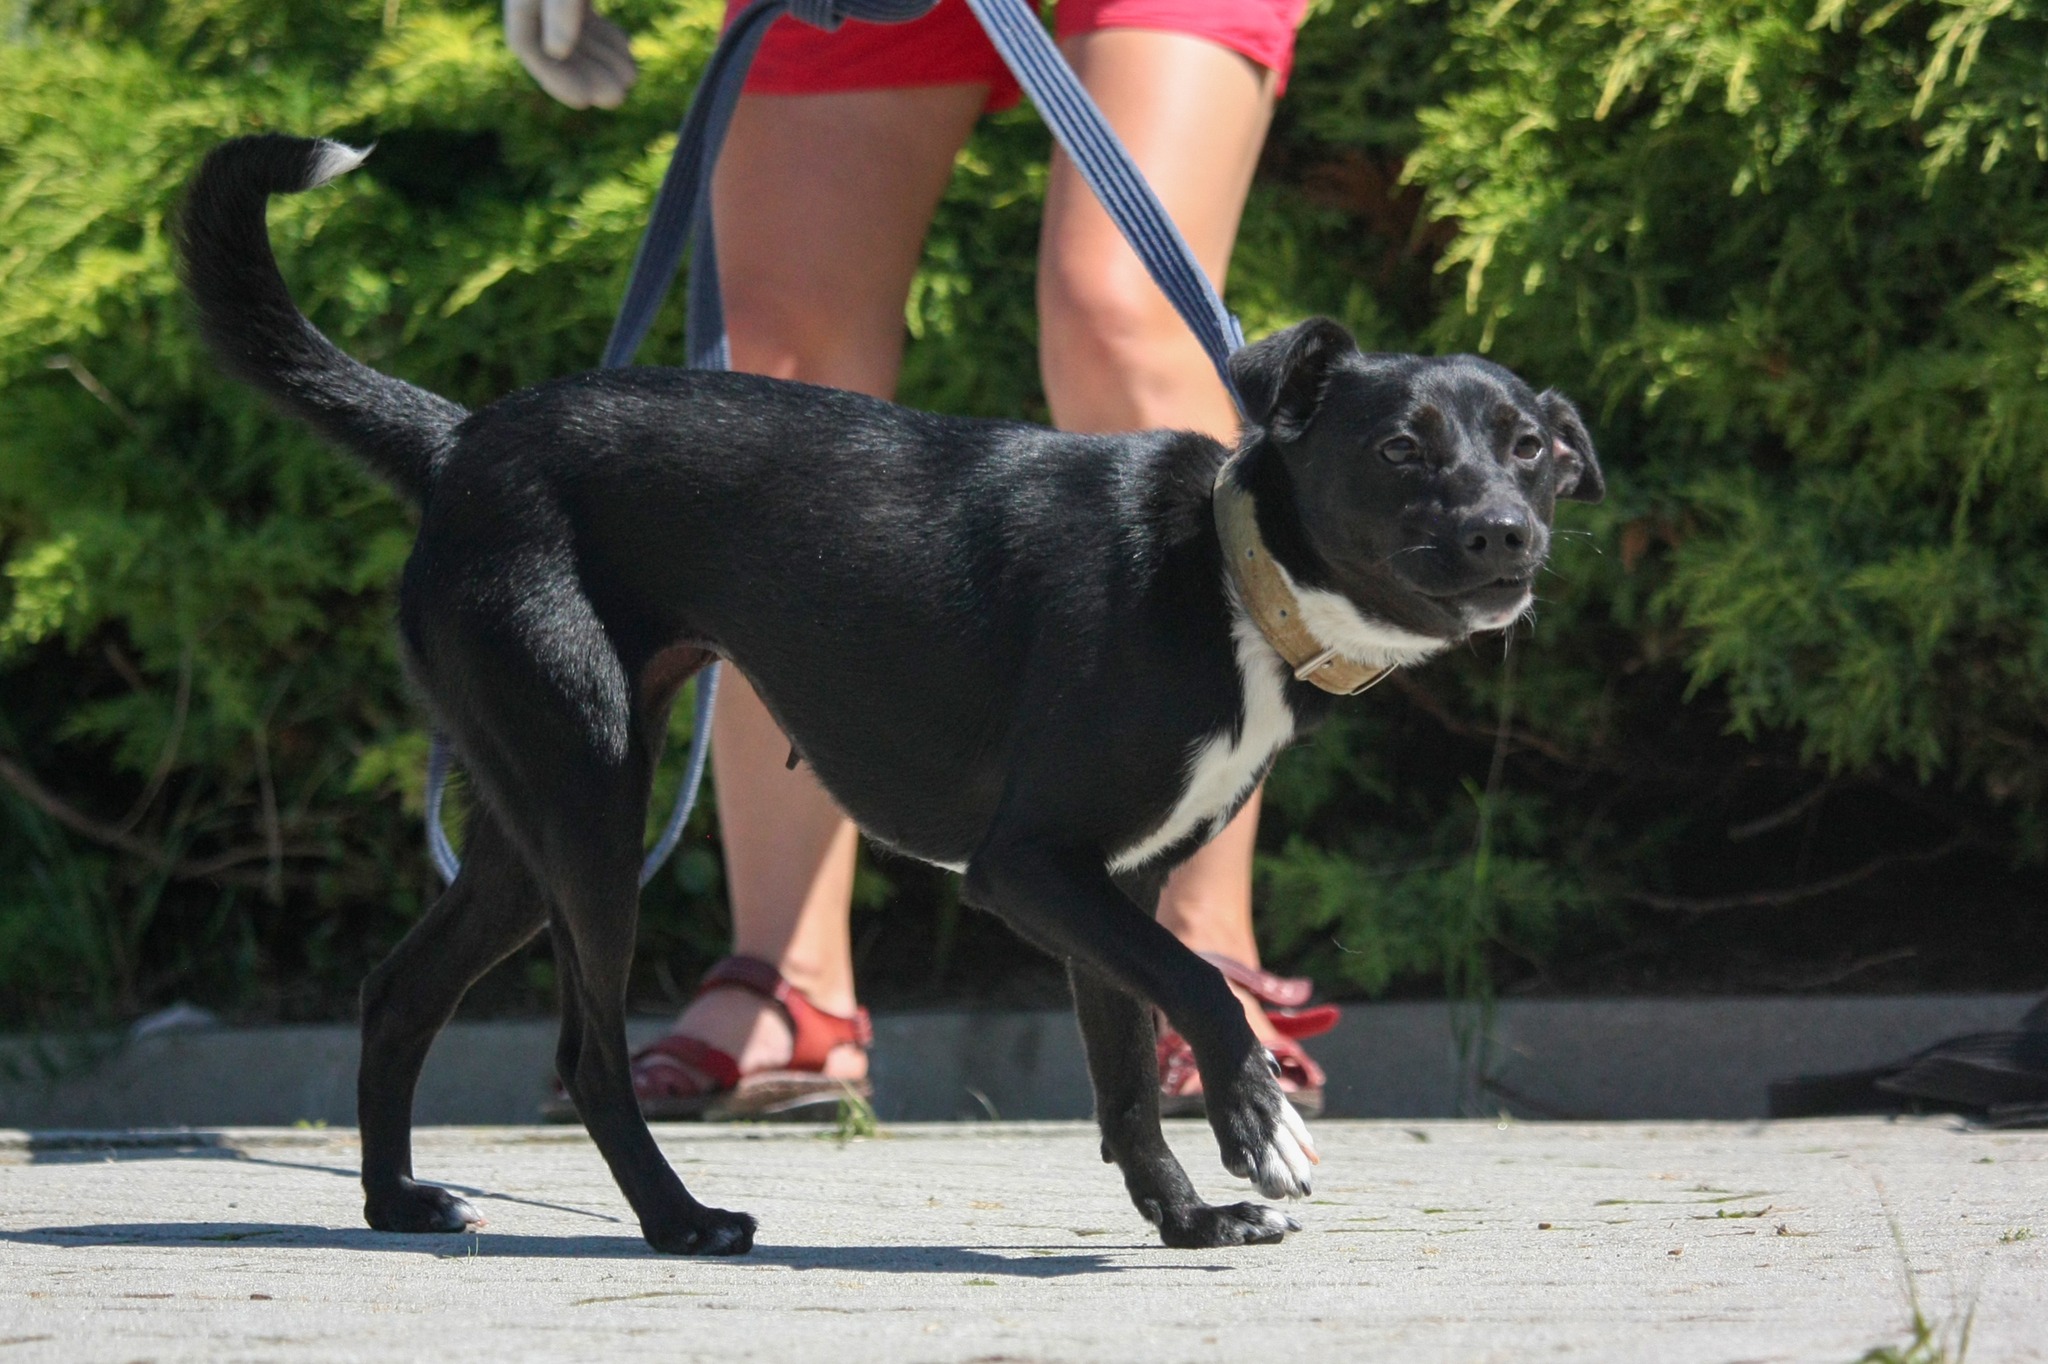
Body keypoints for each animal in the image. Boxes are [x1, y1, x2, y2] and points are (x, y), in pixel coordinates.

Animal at [177, 133, 1602, 1255]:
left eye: (1530, 448)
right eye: (1401, 448)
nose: (1507, 534)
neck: (1222, 571)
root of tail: (462, 439)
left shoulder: (1113, 886)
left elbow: (1128, 1072)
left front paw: (1188, 1214)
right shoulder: (1030, 866)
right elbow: (1199, 985)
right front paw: (1258, 1124)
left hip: (526, 819)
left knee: (399, 990)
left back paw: (399, 1201)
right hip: (589, 797)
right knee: (586, 1053)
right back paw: (680, 1219)